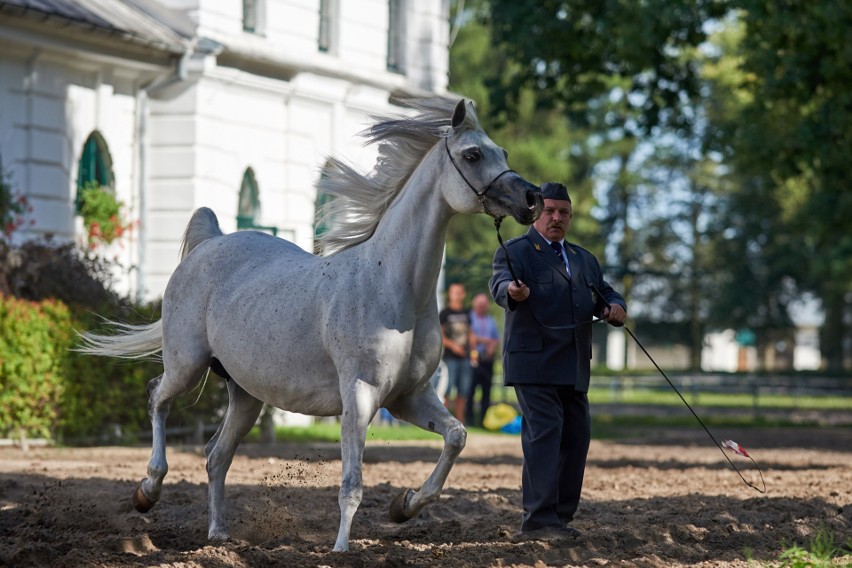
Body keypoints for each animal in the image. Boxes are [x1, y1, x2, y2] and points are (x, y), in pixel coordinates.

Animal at [83, 97, 544, 552]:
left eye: (503, 152)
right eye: (472, 155)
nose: (533, 199)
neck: (391, 285)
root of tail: (209, 242)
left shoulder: (408, 397)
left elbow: (456, 437)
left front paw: (404, 505)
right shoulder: (360, 397)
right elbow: (352, 484)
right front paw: (340, 549)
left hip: (246, 395)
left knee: (216, 456)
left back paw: (218, 536)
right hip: (187, 365)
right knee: (156, 398)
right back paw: (147, 491)